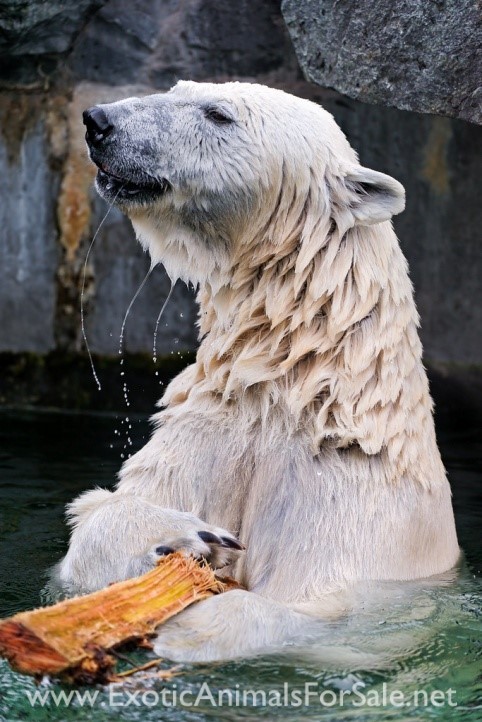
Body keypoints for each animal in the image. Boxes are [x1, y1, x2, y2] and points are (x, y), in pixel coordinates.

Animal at [58, 81, 462, 660]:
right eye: (178, 88)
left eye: (218, 114)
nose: (99, 121)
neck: (288, 384)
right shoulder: (214, 428)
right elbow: (98, 518)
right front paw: (180, 534)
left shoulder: (357, 508)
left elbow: (331, 612)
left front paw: (191, 626)